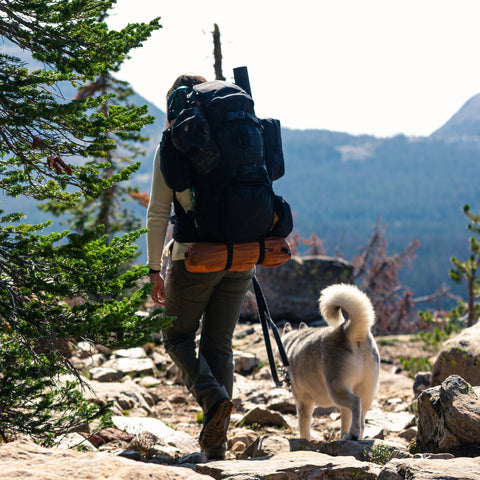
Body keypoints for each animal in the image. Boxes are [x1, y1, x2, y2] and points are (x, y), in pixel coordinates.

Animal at [282, 284, 378, 440]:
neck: (293, 342)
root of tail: (348, 331)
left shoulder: (303, 401)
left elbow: (303, 427)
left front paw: (304, 441)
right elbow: (345, 421)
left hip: (336, 390)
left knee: (355, 402)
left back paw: (353, 434)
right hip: (367, 392)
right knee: (361, 418)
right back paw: (351, 436)